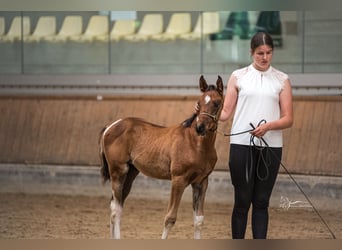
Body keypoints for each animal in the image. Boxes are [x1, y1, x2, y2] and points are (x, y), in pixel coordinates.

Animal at [99, 74, 224, 238]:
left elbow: (199, 220)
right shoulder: (178, 180)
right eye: (199, 103)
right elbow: (170, 218)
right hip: (118, 172)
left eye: (216, 103)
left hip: (130, 173)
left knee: (115, 205)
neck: (196, 144)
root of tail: (111, 126)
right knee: (115, 210)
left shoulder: (201, 182)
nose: (200, 127)